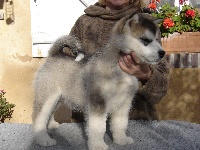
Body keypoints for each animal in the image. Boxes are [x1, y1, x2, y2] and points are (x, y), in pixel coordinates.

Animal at [32, 13, 164, 150]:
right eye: (145, 40)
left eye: (157, 40)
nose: (162, 53)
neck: (120, 70)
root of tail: (54, 55)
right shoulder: (98, 102)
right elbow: (98, 127)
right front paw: (98, 145)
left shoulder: (124, 103)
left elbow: (121, 124)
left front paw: (121, 139)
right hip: (47, 96)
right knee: (39, 117)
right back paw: (43, 139)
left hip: (58, 98)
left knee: (50, 113)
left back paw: (51, 125)